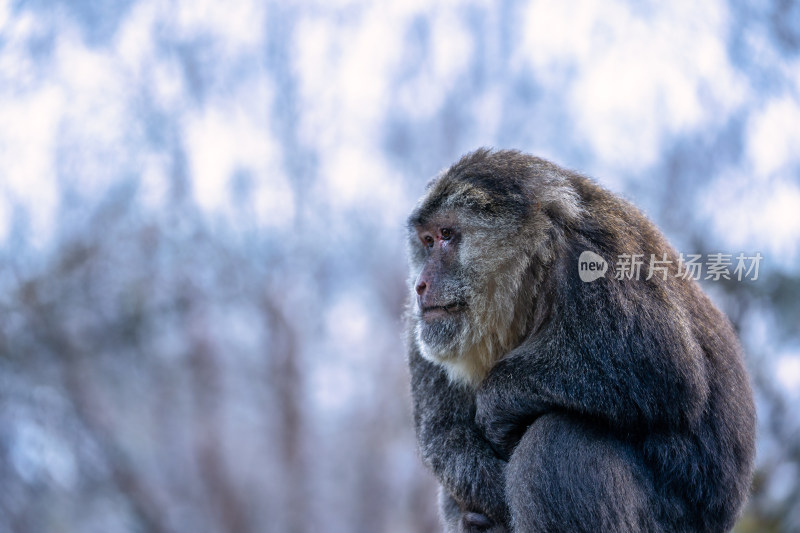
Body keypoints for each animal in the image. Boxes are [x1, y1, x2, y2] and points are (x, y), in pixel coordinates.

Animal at [406, 149, 756, 532]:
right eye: (428, 241)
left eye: (447, 234)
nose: (420, 285)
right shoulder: (422, 327)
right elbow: (444, 434)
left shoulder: (593, 254)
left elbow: (667, 369)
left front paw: (499, 400)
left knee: (555, 443)